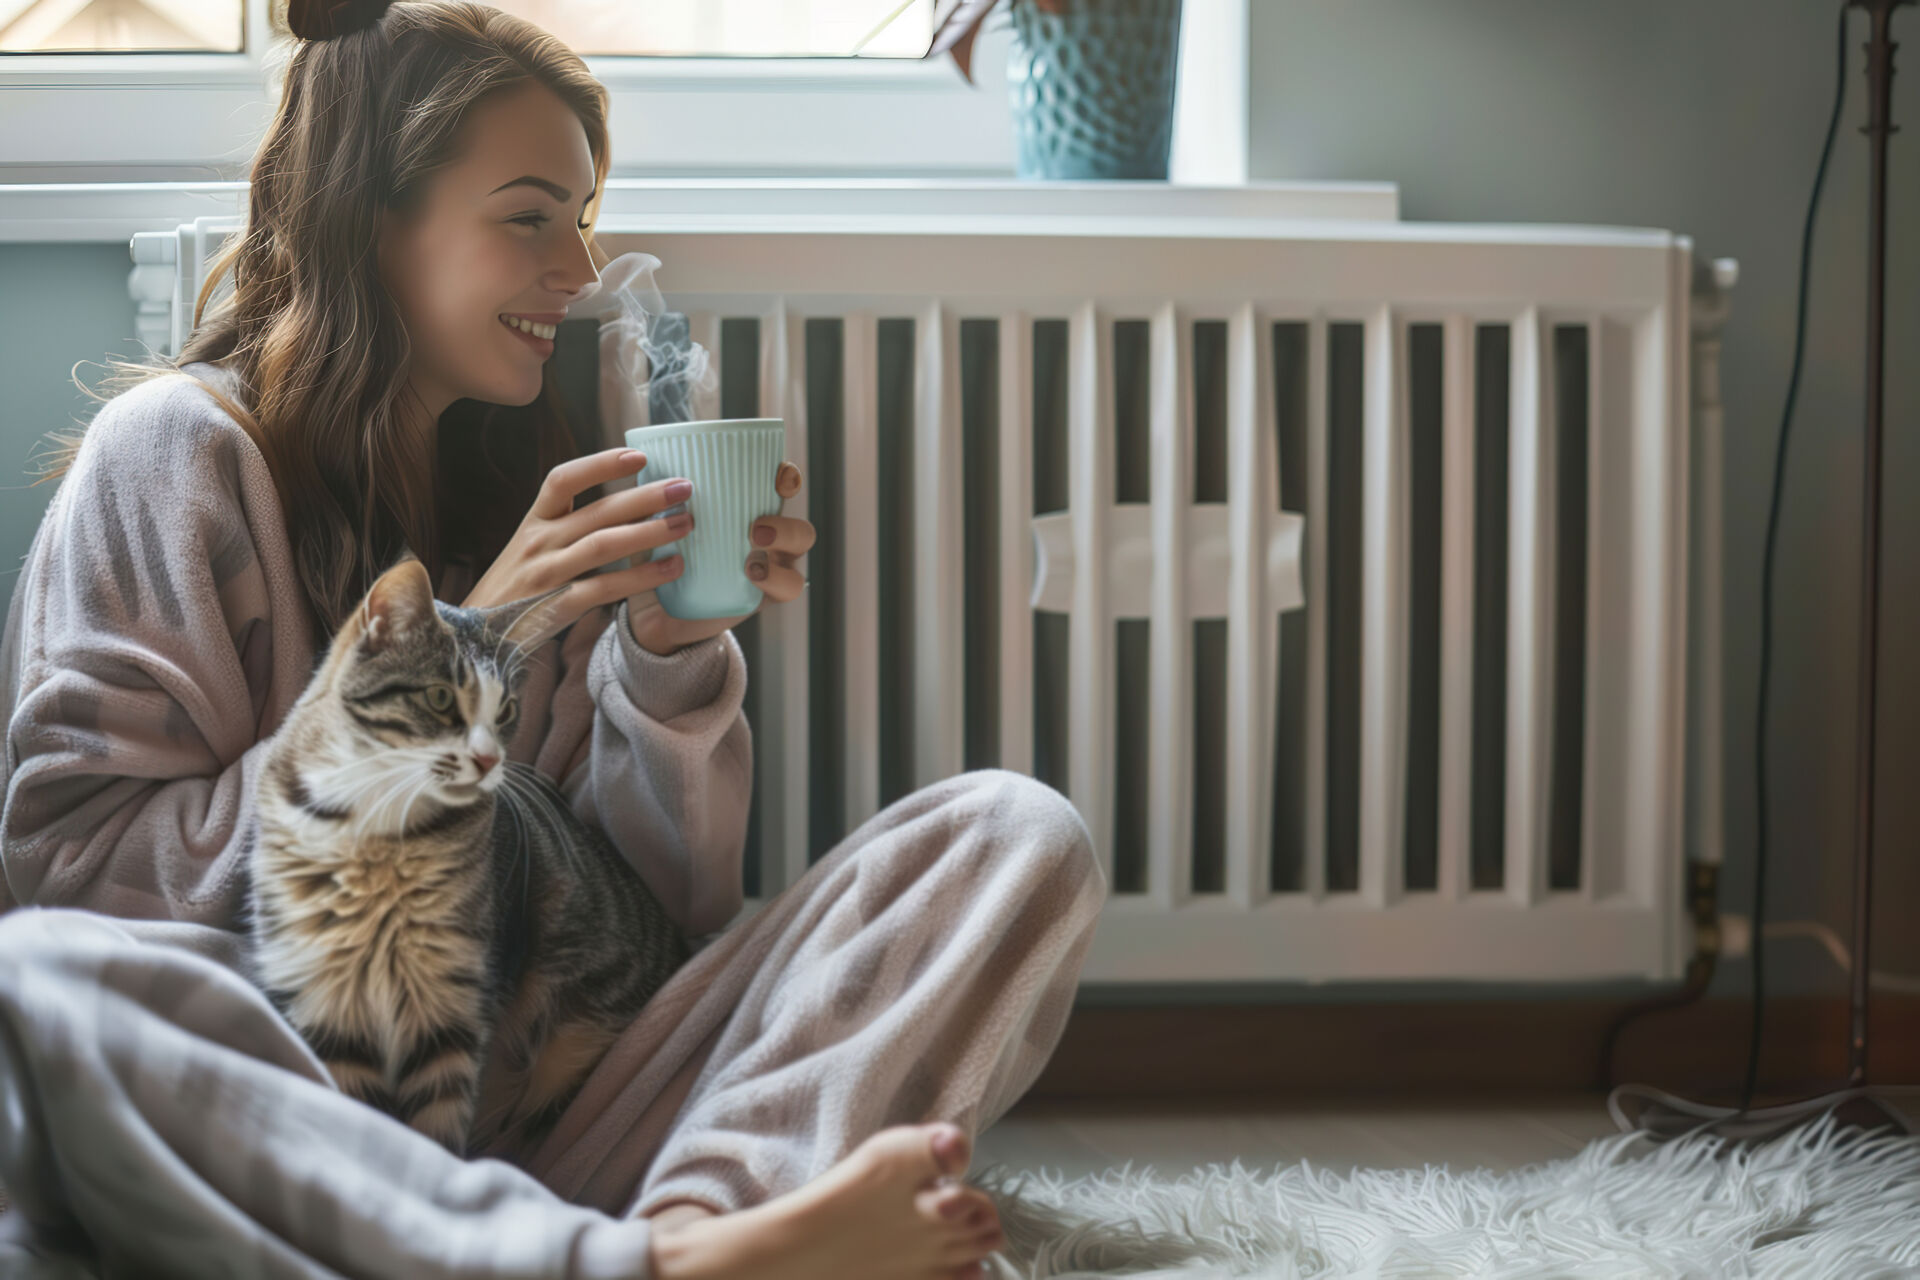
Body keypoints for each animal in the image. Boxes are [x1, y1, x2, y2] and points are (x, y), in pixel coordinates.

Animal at [243, 556, 687, 1159]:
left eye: (506, 711)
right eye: (439, 698)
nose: (488, 760)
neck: (378, 837)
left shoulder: (450, 1007)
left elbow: (437, 1126)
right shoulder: (329, 1005)